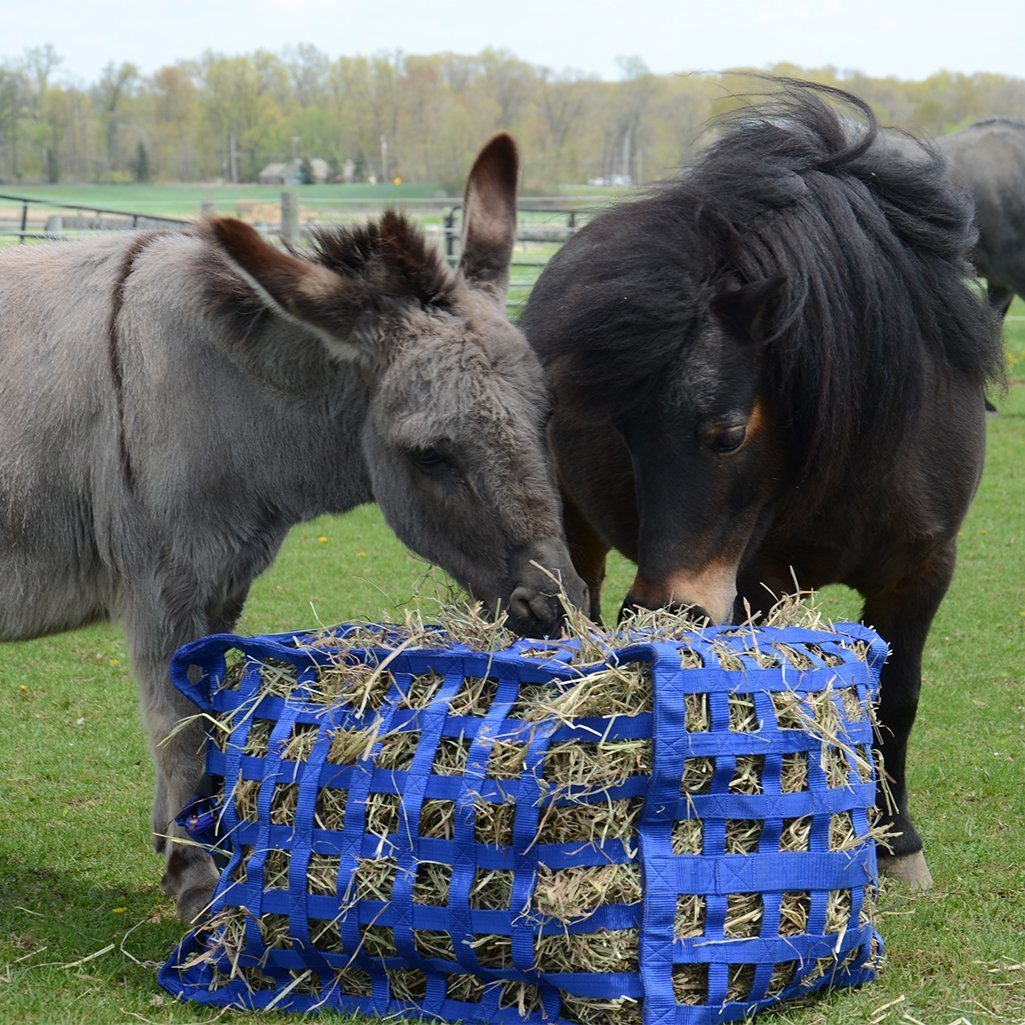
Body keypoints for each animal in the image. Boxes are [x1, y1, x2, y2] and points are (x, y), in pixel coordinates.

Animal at [524, 84, 1004, 889]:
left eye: (726, 433)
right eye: (622, 430)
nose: (668, 613)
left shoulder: (922, 572)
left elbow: (897, 699)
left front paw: (896, 841)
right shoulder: (757, 583)